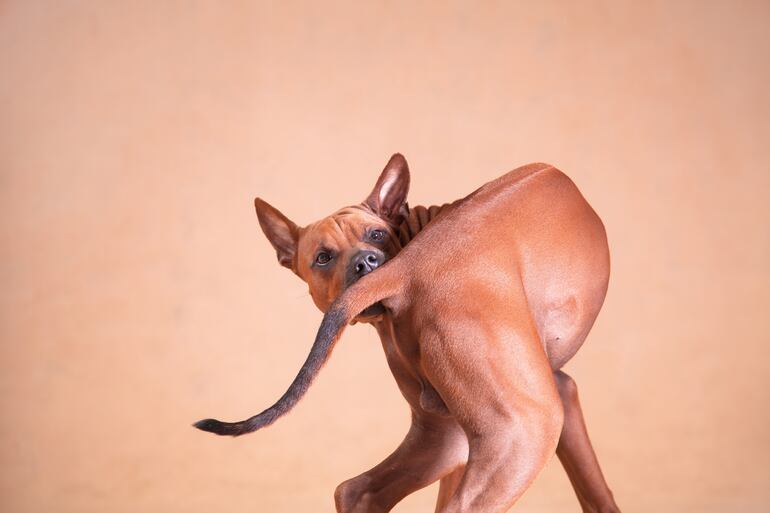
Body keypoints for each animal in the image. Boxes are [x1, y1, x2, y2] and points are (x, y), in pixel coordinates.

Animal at [195, 153, 620, 512]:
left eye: (376, 234)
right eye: (323, 257)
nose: (366, 262)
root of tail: (407, 267)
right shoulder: (561, 392)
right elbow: (597, 493)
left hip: (446, 441)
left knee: (356, 490)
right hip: (527, 432)